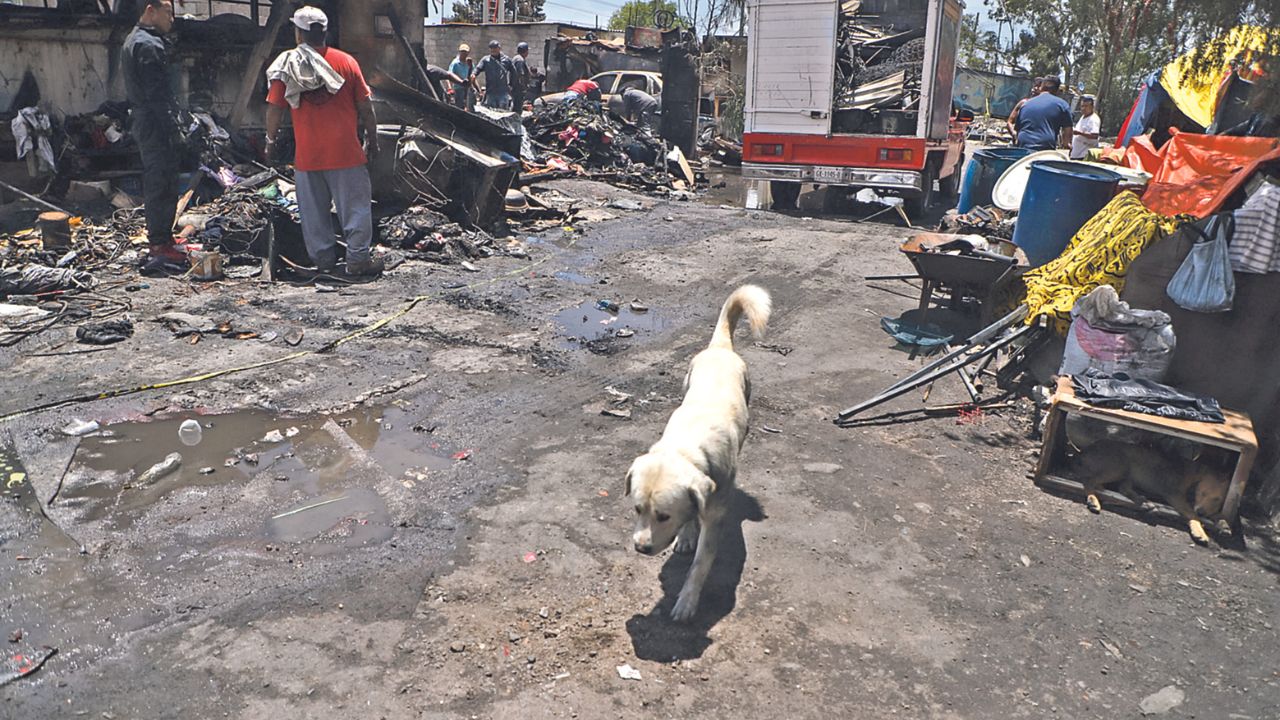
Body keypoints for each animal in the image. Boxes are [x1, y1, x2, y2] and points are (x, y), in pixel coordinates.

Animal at [622, 283, 768, 620]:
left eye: (663, 516)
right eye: (637, 509)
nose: (640, 548)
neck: (686, 449)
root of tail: (721, 348)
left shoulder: (714, 518)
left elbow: (700, 566)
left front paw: (687, 601)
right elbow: (691, 514)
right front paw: (687, 531)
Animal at [1059, 415, 1228, 543]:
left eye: (1217, 500)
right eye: (1202, 493)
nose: (1202, 511)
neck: (1193, 476)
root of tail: (1082, 452)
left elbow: (1217, 515)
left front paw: (1223, 524)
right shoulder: (1175, 495)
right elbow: (1192, 514)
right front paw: (1200, 531)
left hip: (1127, 474)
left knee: (1120, 488)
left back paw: (1144, 502)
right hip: (1120, 465)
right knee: (1089, 481)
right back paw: (1094, 500)